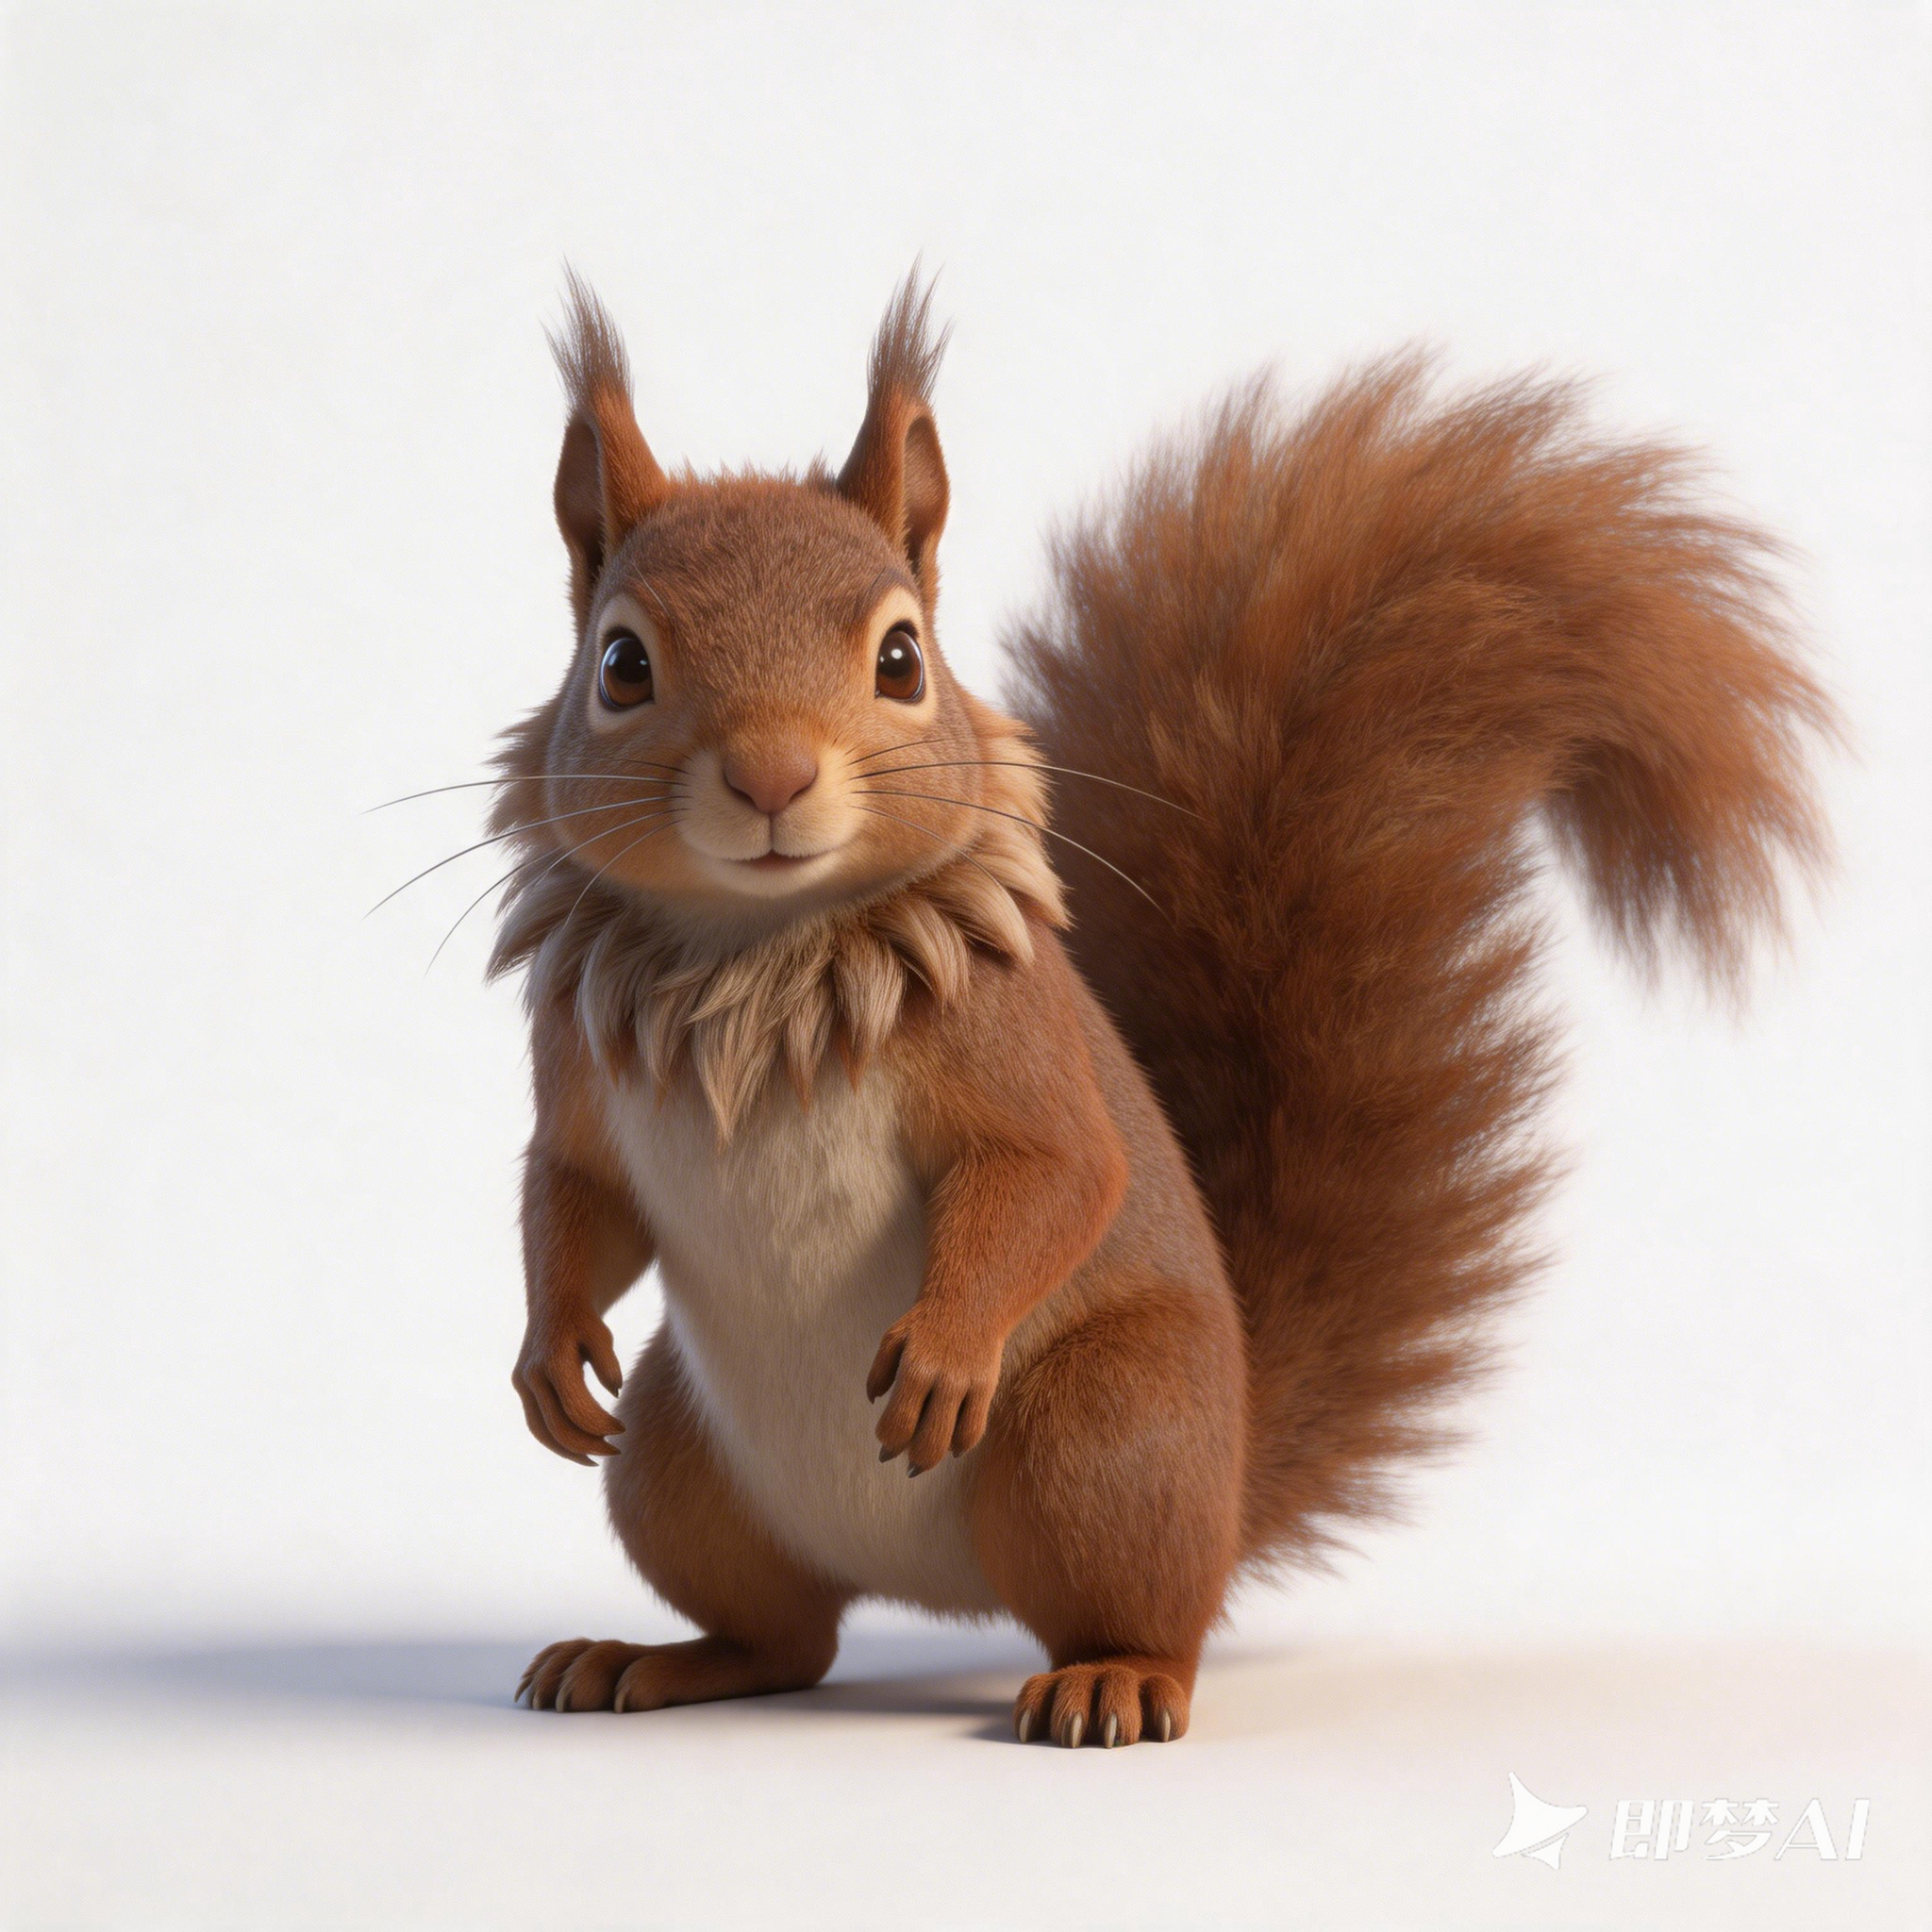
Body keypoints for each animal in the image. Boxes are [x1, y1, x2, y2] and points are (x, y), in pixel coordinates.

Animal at [488, 272, 1834, 1747]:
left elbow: (1057, 1170)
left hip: (1104, 1432)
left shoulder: (1008, 1036)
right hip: (675, 1467)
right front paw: (549, 1355)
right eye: (619, 665)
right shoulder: (576, 1066)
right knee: (787, 1636)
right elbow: (574, 1192)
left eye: (902, 657)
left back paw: (1112, 1681)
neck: (754, 952)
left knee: (1143, 1614)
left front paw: (945, 1348)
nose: (773, 775)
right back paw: (653, 1658)